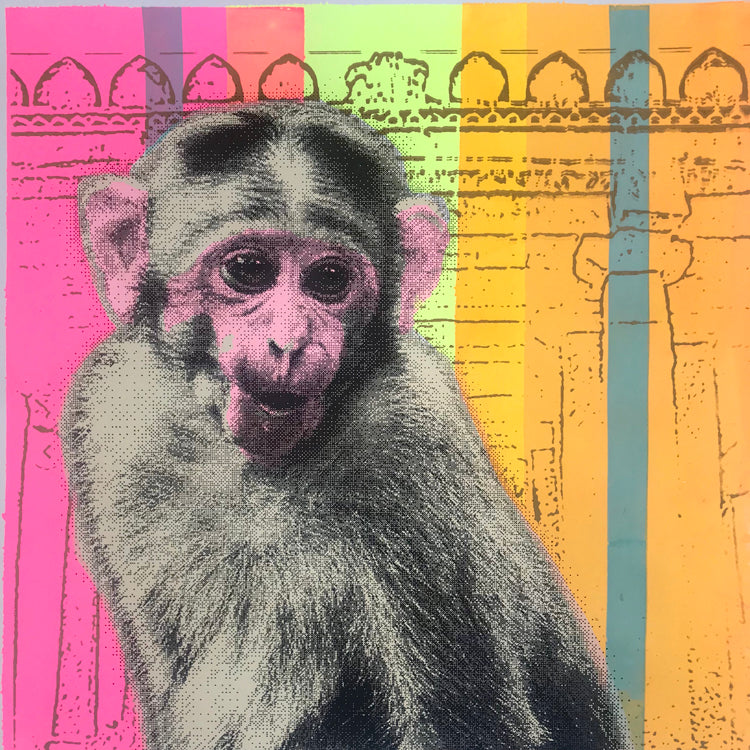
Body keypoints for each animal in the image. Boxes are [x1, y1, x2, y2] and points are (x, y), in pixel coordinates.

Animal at [61, 102, 633, 750]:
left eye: (330, 279)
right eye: (248, 270)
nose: (290, 341)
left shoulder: (413, 433)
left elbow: (472, 723)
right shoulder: (110, 413)